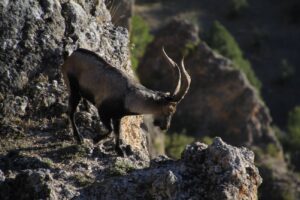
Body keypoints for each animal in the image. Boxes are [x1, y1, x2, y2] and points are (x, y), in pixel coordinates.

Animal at [61, 47, 190, 156]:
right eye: (170, 110)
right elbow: (110, 130)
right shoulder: (103, 111)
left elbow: (117, 132)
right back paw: (79, 138)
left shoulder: (117, 117)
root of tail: (70, 57)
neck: (128, 97)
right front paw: (95, 139)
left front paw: (119, 151)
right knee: (70, 112)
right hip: (73, 88)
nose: (165, 127)